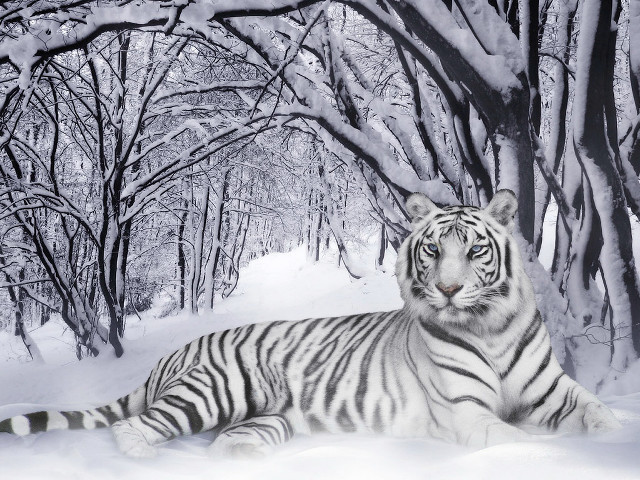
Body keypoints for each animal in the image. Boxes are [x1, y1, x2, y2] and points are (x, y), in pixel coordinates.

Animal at [0, 189, 621, 458]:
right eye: (432, 251)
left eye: (474, 251)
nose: (448, 289)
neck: (490, 327)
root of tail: (170, 357)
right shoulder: (467, 412)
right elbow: (517, 437)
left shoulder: (555, 392)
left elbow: (599, 413)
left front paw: (612, 439)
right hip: (214, 390)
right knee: (134, 429)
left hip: (264, 419)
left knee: (224, 441)